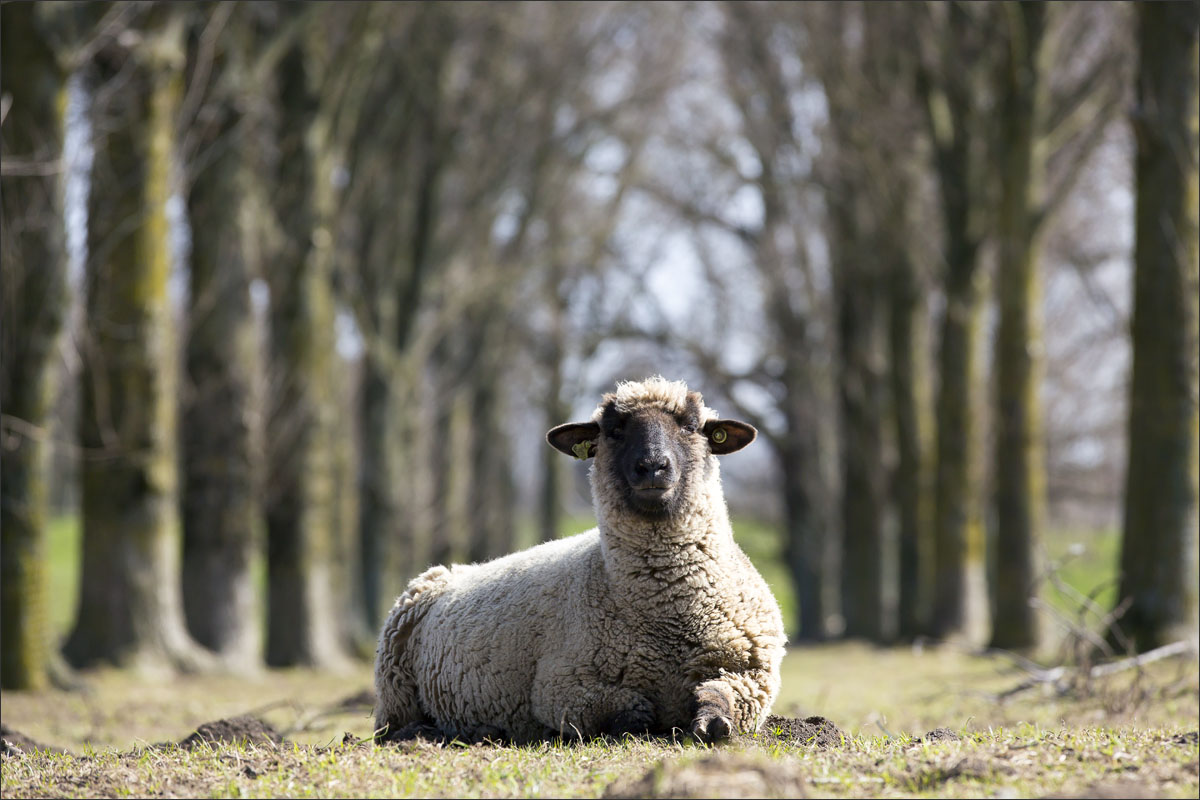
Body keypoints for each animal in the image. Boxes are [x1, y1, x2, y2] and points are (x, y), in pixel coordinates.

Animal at [374, 376, 787, 743]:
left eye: (690, 426)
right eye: (614, 430)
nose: (653, 466)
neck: (667, 615)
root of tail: (455, 570)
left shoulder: (754, 675)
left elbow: (721, 696)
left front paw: (712, 723)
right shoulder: (561, 688)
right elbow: (633, 711)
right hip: (393, 686)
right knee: (390, 730)